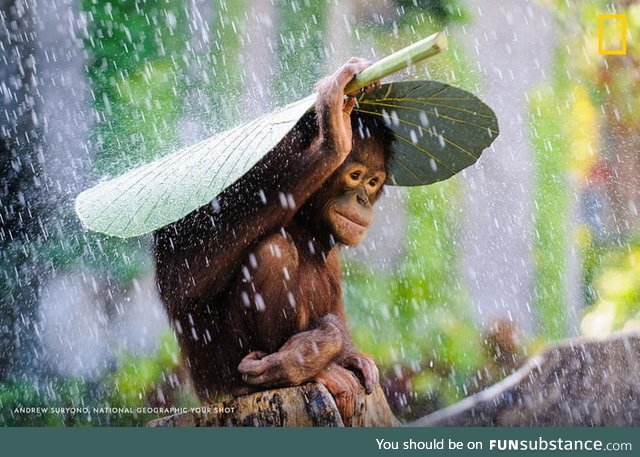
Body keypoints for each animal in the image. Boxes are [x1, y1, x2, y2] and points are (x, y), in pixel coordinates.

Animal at [153, 58, 394, 423]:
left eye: (373, 181)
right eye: (354, 176)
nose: (362, 199)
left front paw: (346, 352)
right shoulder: (260, 161)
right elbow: (181, 278)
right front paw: (332, 134)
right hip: (223, 373)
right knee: (273, 249)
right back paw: (303, 370)